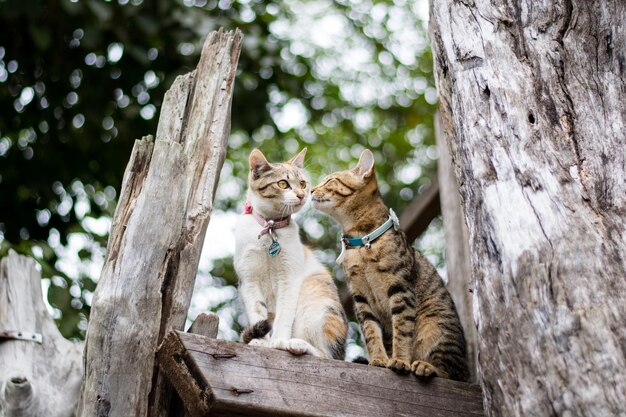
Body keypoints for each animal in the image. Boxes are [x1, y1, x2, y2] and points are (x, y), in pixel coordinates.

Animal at [233, 148, 346, 360]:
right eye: (282, 184)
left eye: (302, 183)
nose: (302, 195)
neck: (270, 228)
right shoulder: (249, 280)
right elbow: (257, 312)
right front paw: (261, 341)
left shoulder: (289, 278)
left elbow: (284, 314)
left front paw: (278, 341)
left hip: (316, 304)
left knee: (326, 355)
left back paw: (297, 344)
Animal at [310, 150, 466, 380]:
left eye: (330, 180)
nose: (311, 189)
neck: (361, 241)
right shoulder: (361, 298)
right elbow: (371, 332)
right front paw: (379, 360)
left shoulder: (400, 288)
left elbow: (401, 329)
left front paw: (400, 360)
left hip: (435, 325)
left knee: (452, 372)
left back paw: (425, 366)